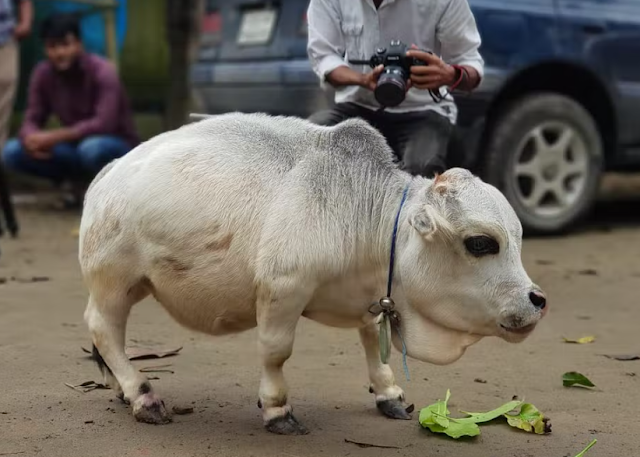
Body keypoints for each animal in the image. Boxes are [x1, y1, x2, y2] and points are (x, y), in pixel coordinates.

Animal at [79, 112, 552, 432]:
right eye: (481, 243)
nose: (537, 301)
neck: (369, 218)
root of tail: (109, 171)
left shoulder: (370, 297)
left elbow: (371, 343)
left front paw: (388, 393)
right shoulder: (283, 289)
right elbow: (275, 352)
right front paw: (277, 409)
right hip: (113, 280)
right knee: (103, 328)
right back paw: (141, 395)